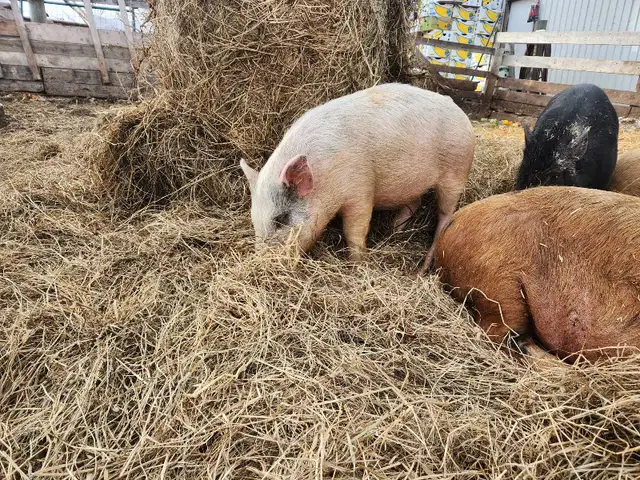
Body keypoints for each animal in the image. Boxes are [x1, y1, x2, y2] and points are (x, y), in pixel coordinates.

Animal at [240, 83, 475, 273]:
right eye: (253, 220)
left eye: (281, 219)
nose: (262, 265)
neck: (325, 173)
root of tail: (456, 107)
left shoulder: (360, 191)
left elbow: (354, 232)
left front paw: (357, 266)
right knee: (414, 202)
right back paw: (393, 231)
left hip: (456, 171)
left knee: (445, 215)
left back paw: (422, 269)